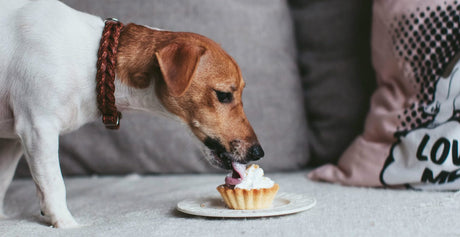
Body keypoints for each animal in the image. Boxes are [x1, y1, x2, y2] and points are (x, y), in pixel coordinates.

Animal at [0, 0, 264, 228]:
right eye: (223, 95)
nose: (258, 152)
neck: (95, 63)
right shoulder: (37, 128)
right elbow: (54, 184)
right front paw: (66, 224)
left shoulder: (13, 141)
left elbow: (4, 179)